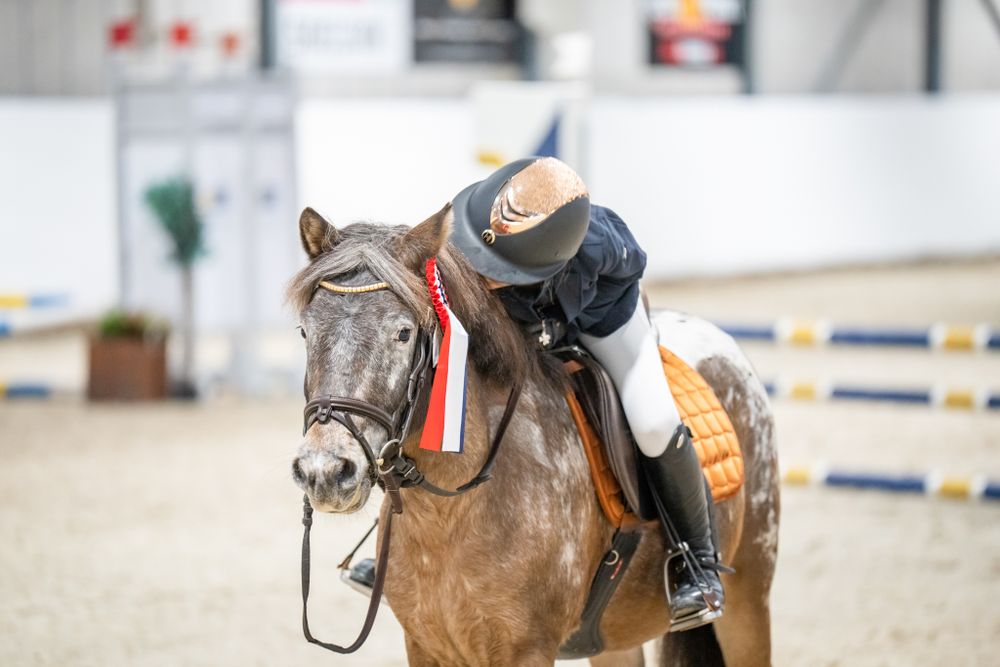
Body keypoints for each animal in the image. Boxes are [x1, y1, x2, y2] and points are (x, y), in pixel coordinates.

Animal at [287, 204, 780, 666]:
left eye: (403, 333)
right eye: (305, 331)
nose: (324, 472)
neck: (450, 511)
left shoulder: (526, 649)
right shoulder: (426, 646)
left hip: (748, 602)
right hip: (615, 642)